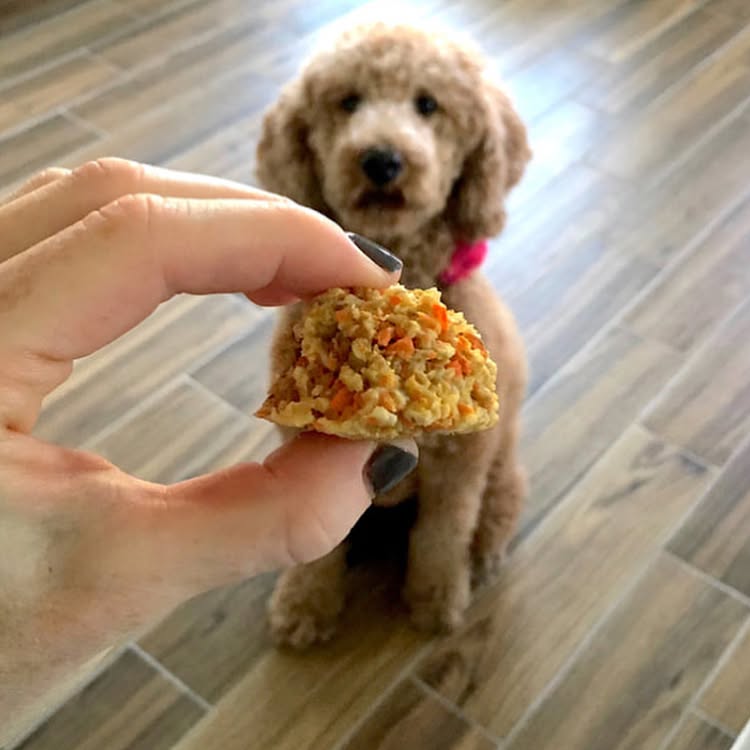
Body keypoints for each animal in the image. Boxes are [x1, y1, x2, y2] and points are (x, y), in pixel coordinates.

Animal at [255, 22, 530, 647]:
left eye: (428, 105)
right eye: (347, 102)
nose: (381, 160)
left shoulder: (460, 462)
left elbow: (442, 535)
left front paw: (436, 600)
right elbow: (318, 543)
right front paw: (305, 604)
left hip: (501, 471)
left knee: (493, 516)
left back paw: (484, 558)